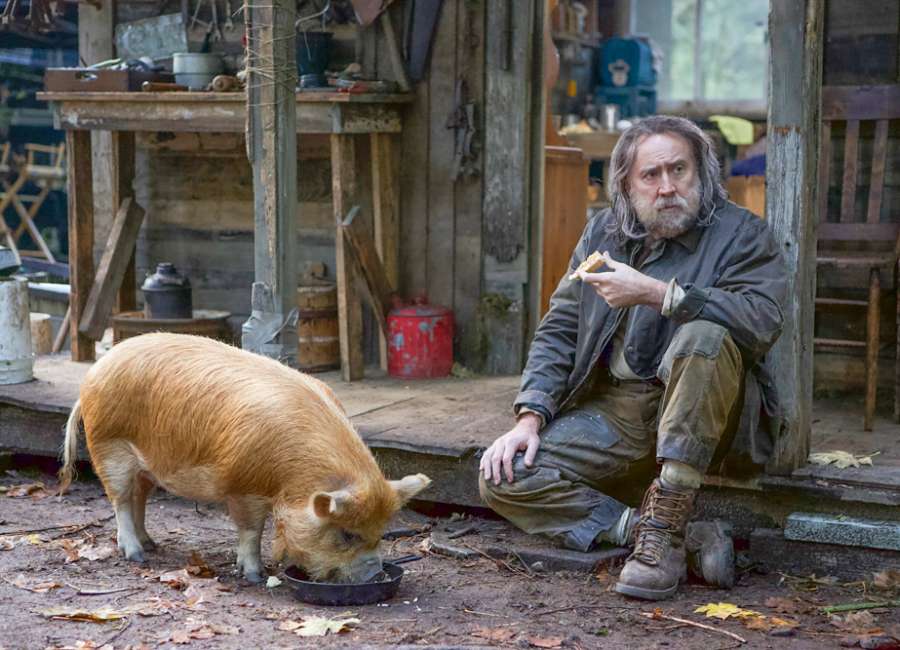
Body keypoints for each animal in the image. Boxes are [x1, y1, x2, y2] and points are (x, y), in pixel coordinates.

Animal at [58, 332, 431, 584]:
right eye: (348, 534)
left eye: (380, 532)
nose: (374, 575)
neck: (291, 477)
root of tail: (93, 374)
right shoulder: (242, 485)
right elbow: (252, 530)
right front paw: (254, 575)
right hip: (109, 446)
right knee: (119, 500)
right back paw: (136, 556)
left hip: (145, 466)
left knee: (139, 499)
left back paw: (151, 545)